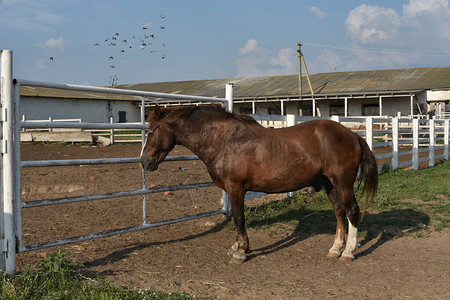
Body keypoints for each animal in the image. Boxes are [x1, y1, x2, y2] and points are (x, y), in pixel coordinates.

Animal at [139, 105, 378, 262]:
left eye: (151, 132)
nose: (144, 161)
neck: (223, 140)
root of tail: (353, 136)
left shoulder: (236, 189)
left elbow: (239, 218)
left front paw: (241, 251)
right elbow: (238, 220)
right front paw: (238, 246)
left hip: (343, 184)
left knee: (352, 211)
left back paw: (348, 251)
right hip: (330, 185)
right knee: (339, 213)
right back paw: (335, 249)